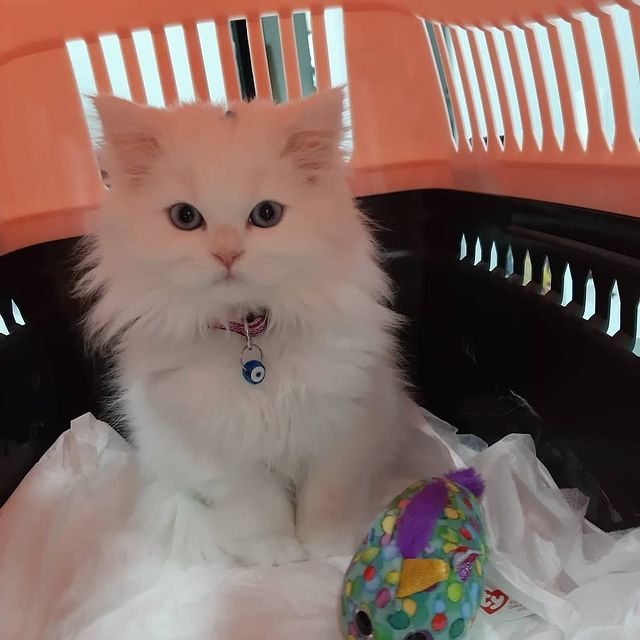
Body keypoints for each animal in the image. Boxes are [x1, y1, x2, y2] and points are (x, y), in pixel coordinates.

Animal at [77, 88, 415, 567]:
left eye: (266, 214)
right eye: (184, 217)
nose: (227, 254)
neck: (252, 335)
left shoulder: (340, 427)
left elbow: (325, 498)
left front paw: (326, 549)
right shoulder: (223, 451)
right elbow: (260, 508)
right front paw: (280, 554)